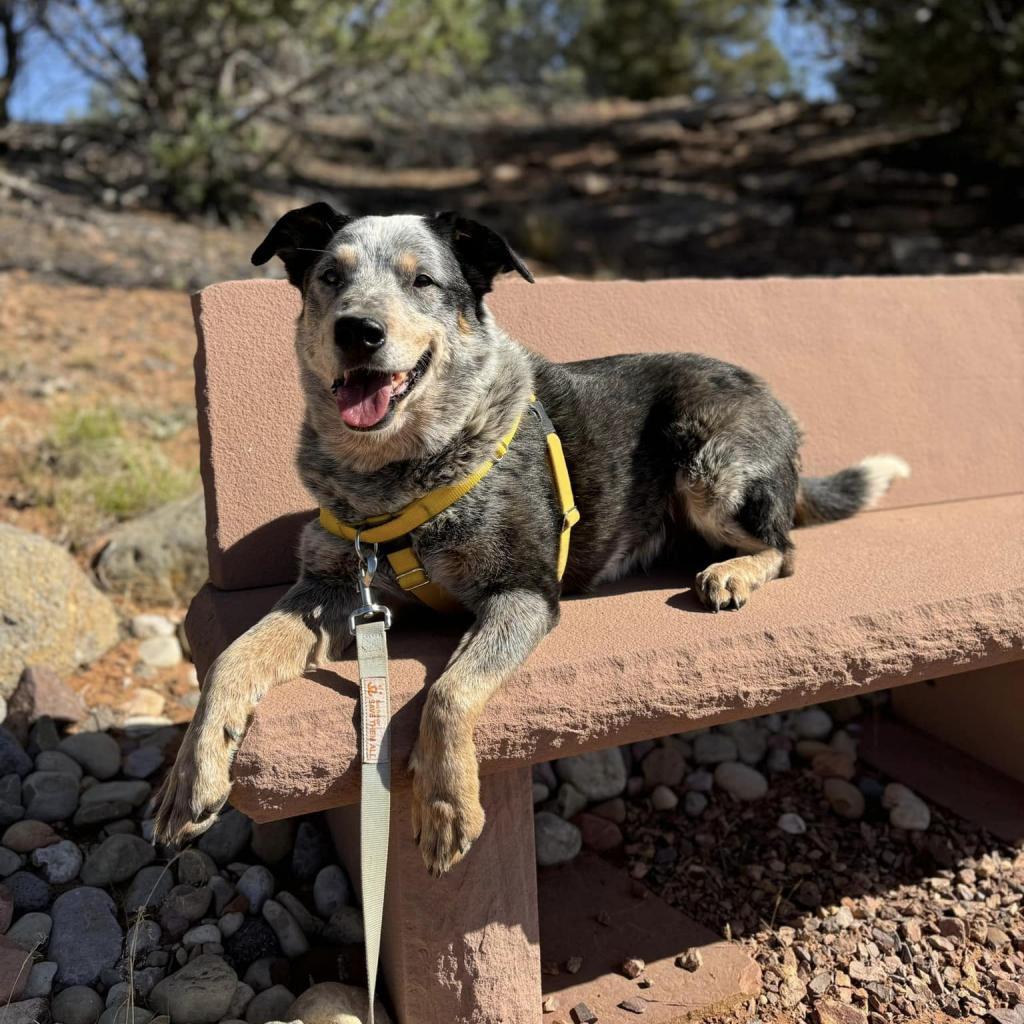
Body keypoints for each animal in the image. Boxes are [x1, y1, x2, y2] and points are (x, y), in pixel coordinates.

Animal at [149, 205, 905, 872]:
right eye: (330, 276)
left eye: (423, 281)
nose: (356, 331)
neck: (398, 475)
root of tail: (777, 405)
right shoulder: (332, 589)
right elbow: (230, 661)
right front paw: (191, 778)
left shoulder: (524, 591)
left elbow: (450, 692)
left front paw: (446, 804)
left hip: (710, 465)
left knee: (784, 546)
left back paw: (732, 572)